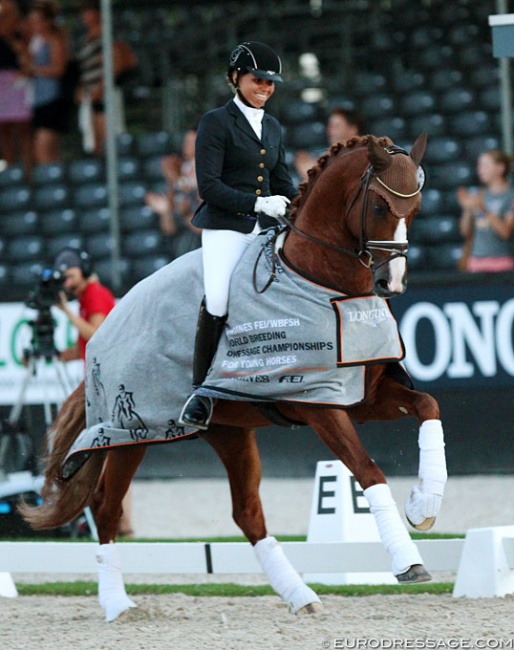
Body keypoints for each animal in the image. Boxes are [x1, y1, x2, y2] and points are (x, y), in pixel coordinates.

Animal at [20, 134, 444, 620]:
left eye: (414, 209)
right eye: (377, 205)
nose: (392, 283)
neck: (324, 285)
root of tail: (107, 327)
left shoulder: (362, 398)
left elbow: (428, 407)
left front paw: (424, 504)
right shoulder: (318, 404)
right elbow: (369, 471)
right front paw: (408, 560)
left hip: (229, 432)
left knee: (247, 513)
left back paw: (301, 595)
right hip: (129, 433)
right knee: (106, 508)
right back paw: (117, 603)